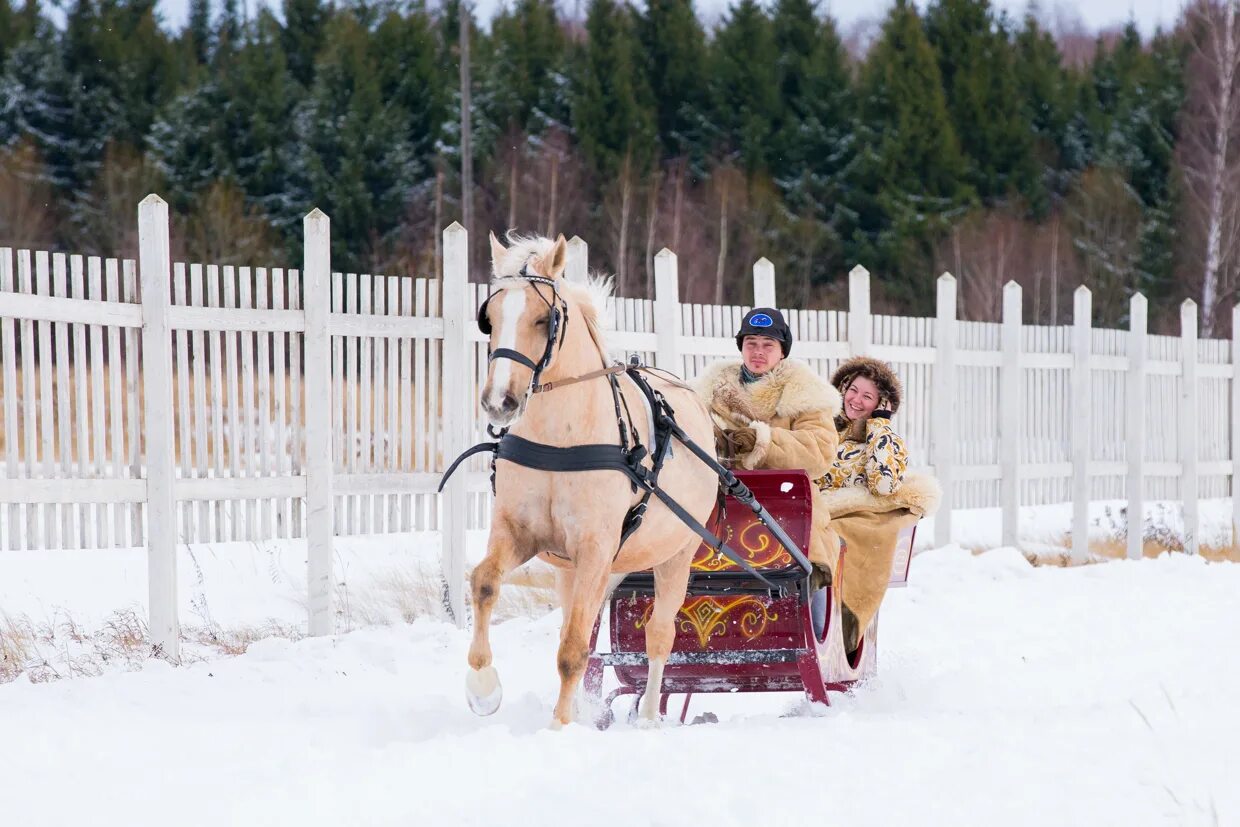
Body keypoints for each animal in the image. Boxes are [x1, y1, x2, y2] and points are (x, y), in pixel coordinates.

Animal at [463, 229, 719, 729]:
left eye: (544, 318)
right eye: (490, 317)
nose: (499, 402)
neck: (560, 441)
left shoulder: (596, 547)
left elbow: (573, 650)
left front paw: (560, 725)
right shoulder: (520, 534)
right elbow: (484, 582)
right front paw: (483, 689)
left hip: (675, 554)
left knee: (659, 634)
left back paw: (648, 716)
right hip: (582, 568)